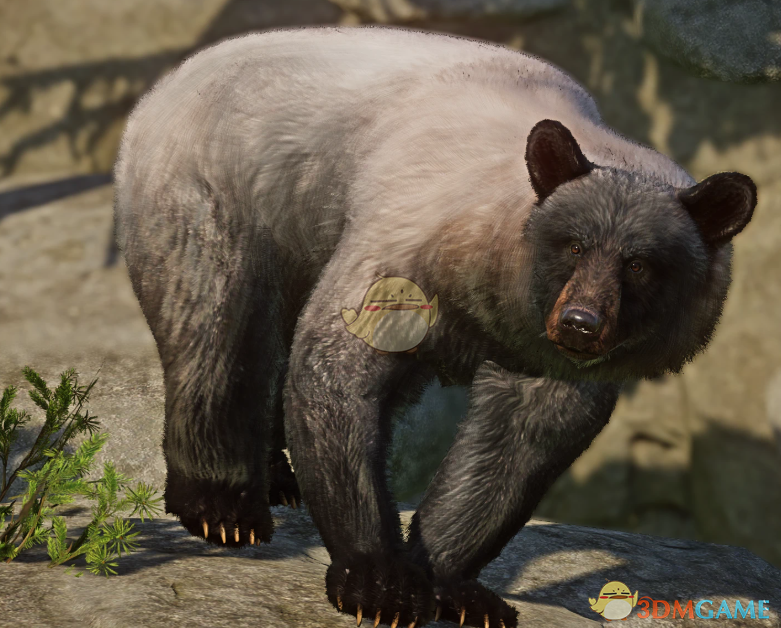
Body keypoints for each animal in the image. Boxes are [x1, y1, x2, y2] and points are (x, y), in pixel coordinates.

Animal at [113, 26, 756, 628]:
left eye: (641, 264)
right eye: (573, 245)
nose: (580, 325)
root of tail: (161, 89)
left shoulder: (536, 347)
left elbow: (516, 443)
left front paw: (456, 588)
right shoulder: (408, 238)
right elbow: (338, 366)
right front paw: (379, 581)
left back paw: (276, 480)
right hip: (220, 186)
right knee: (215, 317)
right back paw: (222, 505)